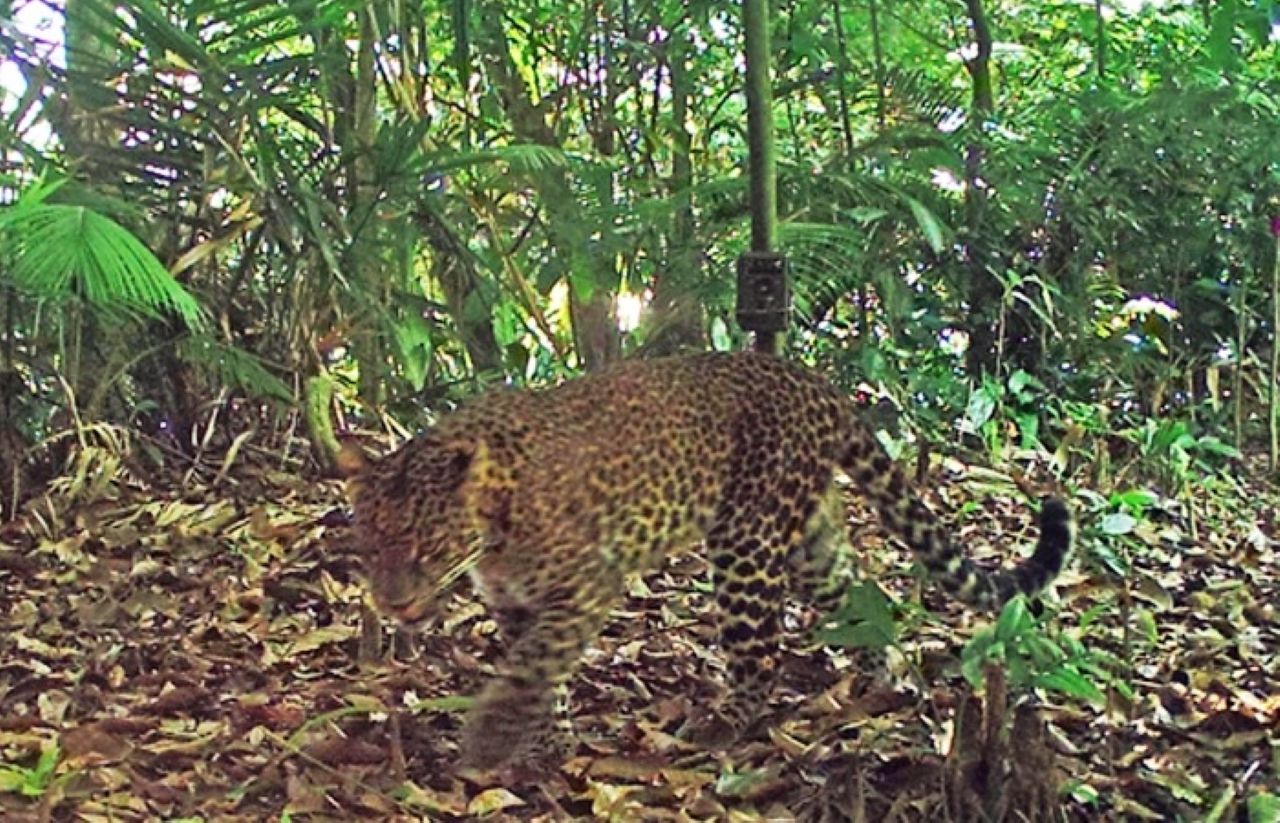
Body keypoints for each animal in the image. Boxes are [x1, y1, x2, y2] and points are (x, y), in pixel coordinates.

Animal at [337, 348, 1070, 773]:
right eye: (370, 547)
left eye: (429, 548)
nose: (393, 603)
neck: (494, 522)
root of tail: (818, 384)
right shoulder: (519, 603)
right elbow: (538, 674)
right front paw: (545, 743)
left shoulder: (585, 586)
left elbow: (533, 667)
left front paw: (491, 742)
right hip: (806, 542)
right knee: (861, 591)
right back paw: (891, 673)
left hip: (747, 539)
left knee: (762, 654)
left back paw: (720, 726)